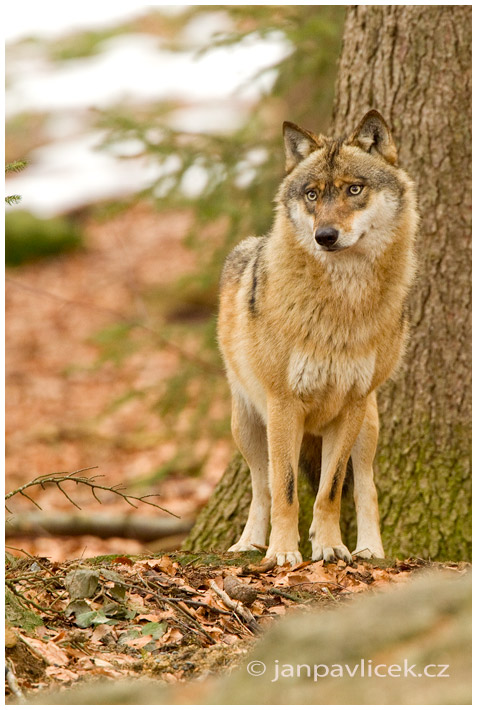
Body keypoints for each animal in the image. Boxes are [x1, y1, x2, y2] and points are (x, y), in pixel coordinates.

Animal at [218, 111, 416, 568]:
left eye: (354, 189)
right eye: (311, 195)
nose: (324, 236)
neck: (342, 304)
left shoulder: (351, 406)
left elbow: (329, 491)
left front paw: (328, 546)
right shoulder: (284, 404)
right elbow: (287, 491)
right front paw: (283, 552)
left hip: (367, 427)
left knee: (366, 488)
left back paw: (370, 550)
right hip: (248, 426)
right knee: (262, 487)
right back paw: (249, 543)